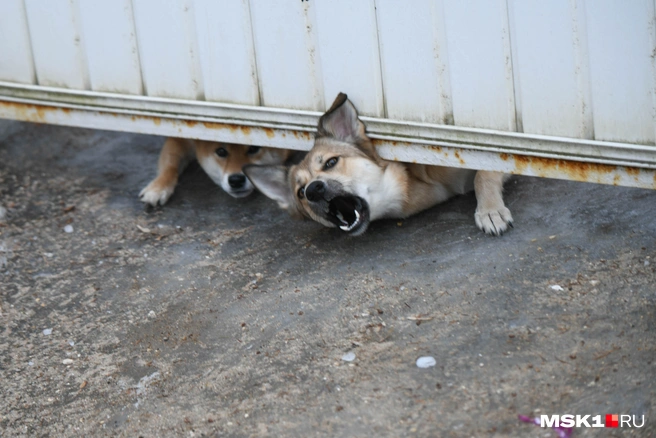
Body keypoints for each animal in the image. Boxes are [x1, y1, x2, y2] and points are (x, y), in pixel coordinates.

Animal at [140, 137, 292, 207]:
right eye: (221, 151)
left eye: (253, 148)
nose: (236, 180)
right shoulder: (180, 139)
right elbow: (170, 165)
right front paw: (158, 187)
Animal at [243, 93, 516, 236]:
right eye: (300, 192)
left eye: (331, 162)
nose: (313, 190)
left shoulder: (486, 154)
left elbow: (483, 175)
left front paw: (490, 211)